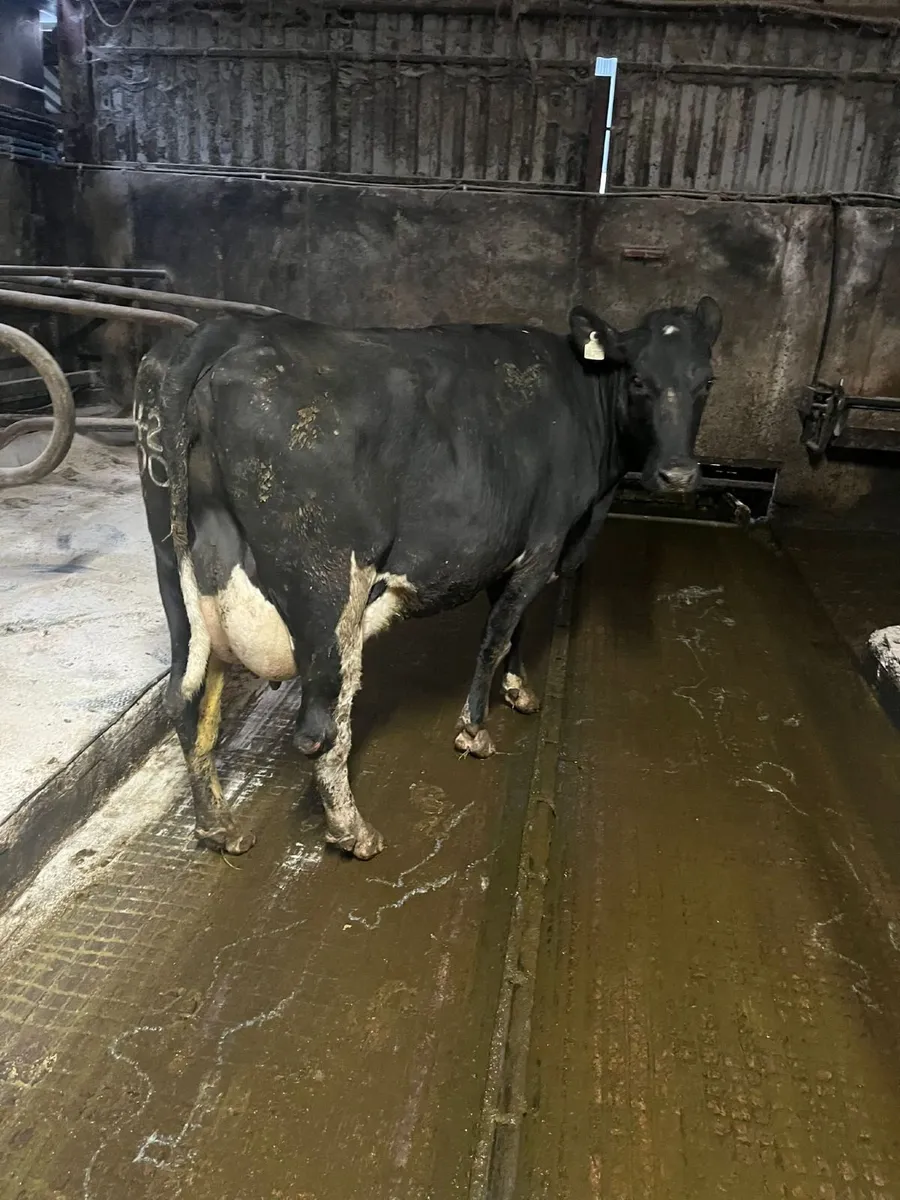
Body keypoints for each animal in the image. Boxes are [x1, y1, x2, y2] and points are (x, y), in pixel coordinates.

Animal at [135, 297, 721, 860]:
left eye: (707, 380)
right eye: (640, 379)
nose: (678, 474)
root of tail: (223, 331)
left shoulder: (502, 550)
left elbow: (515, 626)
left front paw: (519, 690)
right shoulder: (545, 539)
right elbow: (497, 634)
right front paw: (474, 728)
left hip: (176, 577)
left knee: (185, 700)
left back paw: (218, 827)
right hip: (329, 587)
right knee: (321, 721)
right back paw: (351, 831)